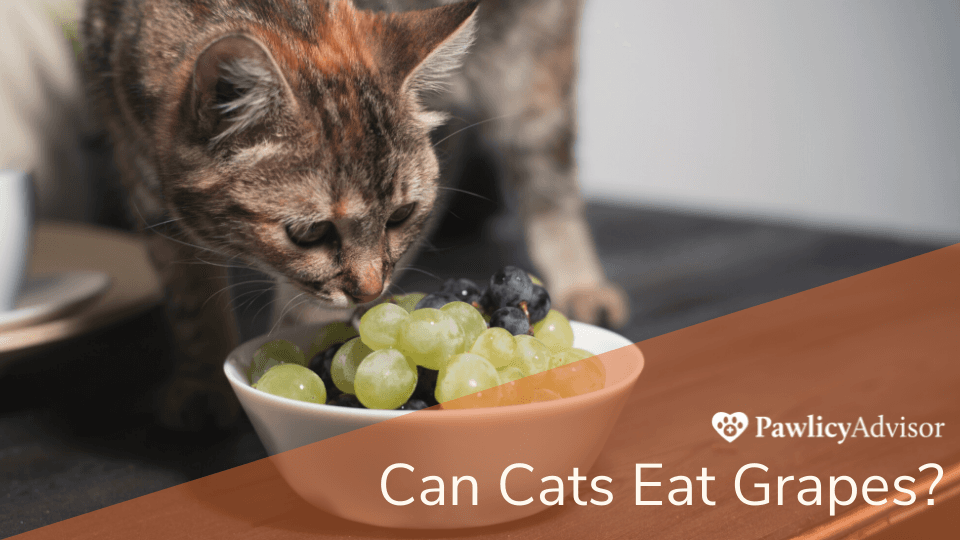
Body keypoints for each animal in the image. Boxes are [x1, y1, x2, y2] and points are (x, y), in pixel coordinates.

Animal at [79, 0, 628, 430]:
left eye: (401, 215)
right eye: (309, 232)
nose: (369, 291)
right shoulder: (142, 177)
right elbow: (189, 298)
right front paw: (201, 385)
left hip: (531, 68)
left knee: (547, 179)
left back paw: (582, 283)